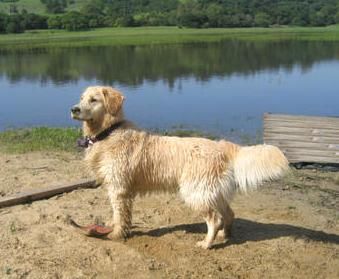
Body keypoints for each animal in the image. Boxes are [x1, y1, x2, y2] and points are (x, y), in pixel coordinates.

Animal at [71, 86, 290, 249]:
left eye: (94, 100)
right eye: (81, 98)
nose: (74, 109)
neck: (108, 132)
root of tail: (221, 145)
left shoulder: (119, 188)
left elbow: (120, 214)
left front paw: (116, 234)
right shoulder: (116, 187)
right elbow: (116, 213)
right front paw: (111, 224)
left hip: (195, 191)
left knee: (214, 219)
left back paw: (207, 243)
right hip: (211, 191)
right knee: (228, 214)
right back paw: (224, 236)